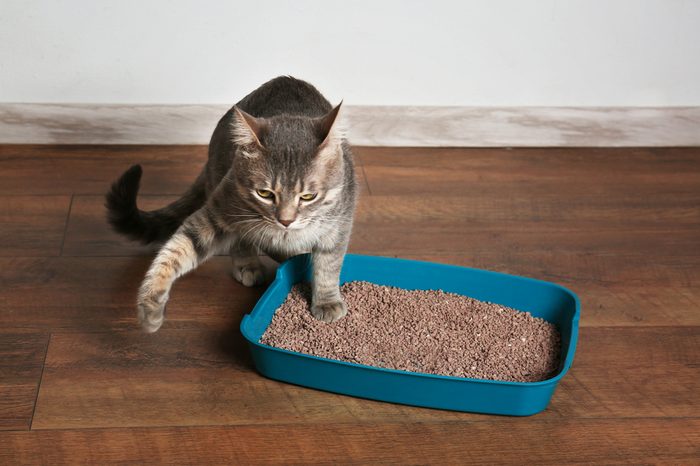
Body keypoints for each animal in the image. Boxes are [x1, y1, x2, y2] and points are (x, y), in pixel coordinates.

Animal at [106, 75, 358, 332]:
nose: (285, 220)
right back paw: (249, 265)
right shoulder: (219, 211)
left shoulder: (338, 225)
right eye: (264, 193)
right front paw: (151, 303)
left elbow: (328, 265)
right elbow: (177, 250)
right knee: (240, 242)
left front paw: (327, 301)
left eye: (308, 196)